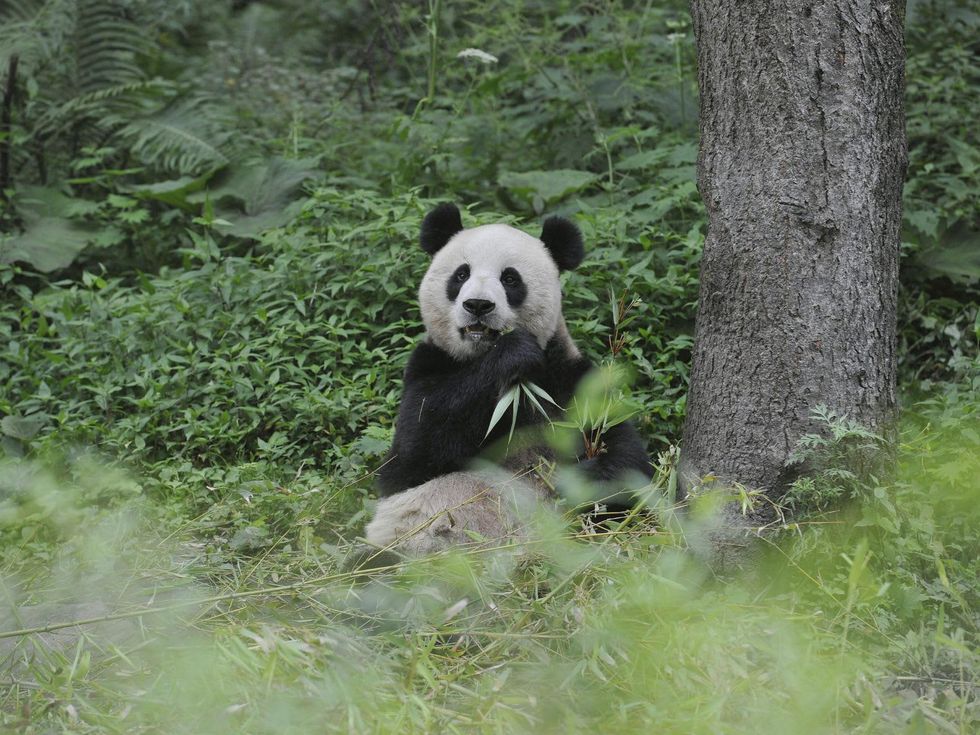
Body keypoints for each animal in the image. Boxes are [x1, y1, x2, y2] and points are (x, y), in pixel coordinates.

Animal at [364, 203, 653, 556]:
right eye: (461, 274)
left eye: (510, 278)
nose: (478, 305)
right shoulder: (427, 366)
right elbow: (415, 447)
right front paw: (514, 352)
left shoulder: (570, 380)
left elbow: (627, 459)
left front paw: (578, 480)